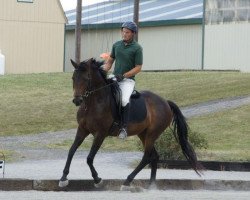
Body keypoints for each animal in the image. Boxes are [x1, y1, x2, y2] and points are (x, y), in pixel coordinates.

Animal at [58, 57, 201, 189]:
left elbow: (89, 158)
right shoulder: (82, 129)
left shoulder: (100, 133)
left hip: (152, 134)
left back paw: (127, 181)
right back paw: (151, 185)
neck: (93, 103)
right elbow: (71, 151)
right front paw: (63, 178)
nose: (77, 100)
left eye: (86, 78)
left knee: (147, 157)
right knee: (154, 156)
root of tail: (165, 102)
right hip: (143, 134)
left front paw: (97, 179)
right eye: (73, 78)